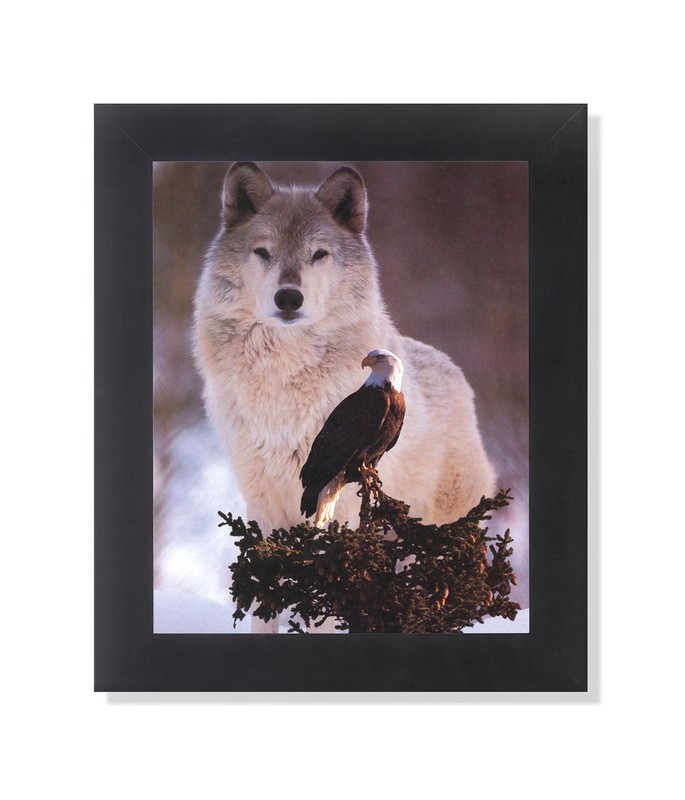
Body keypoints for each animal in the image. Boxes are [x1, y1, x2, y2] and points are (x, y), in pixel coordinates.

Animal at [193, 163, 496, 624]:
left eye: (319, 255)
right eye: (263, 252)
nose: (289, 297)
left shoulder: (338, 499)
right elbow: (265, 600)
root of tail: (456, 371)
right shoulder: (263, 501)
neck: (283, 384)